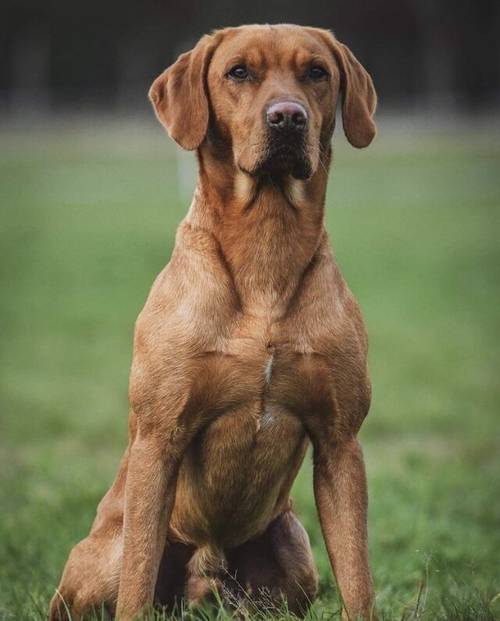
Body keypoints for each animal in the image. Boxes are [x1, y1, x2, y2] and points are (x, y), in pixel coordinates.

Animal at [51, 23, 378, 620]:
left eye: (317, 72)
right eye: (238, 72)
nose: (288, 117)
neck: (265, 249)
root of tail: (206, 567)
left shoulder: (341, 442)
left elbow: (358, 580)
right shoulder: (159, 439)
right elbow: (136, 583)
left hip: (294, 553)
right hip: (105, 556)